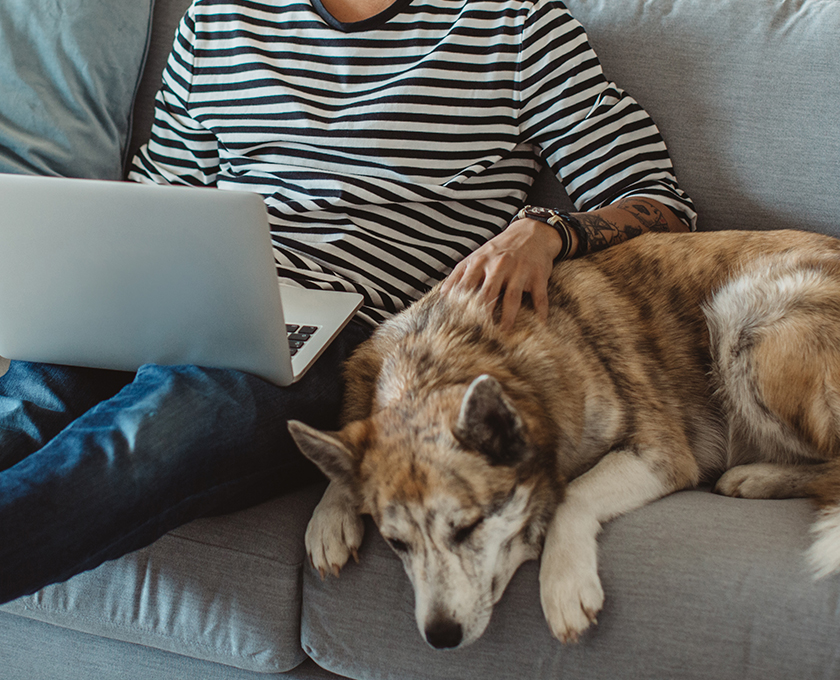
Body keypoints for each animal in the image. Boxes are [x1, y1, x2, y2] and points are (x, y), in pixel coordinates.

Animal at [290, 231, 840, 652]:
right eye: (396, 543)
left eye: (468, 528)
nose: (439, 637)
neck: (453, 356)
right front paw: (331, 514)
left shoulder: (659, 452)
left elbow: (572, 493)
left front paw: (563, 583)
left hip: (742, 314)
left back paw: (755, 477)